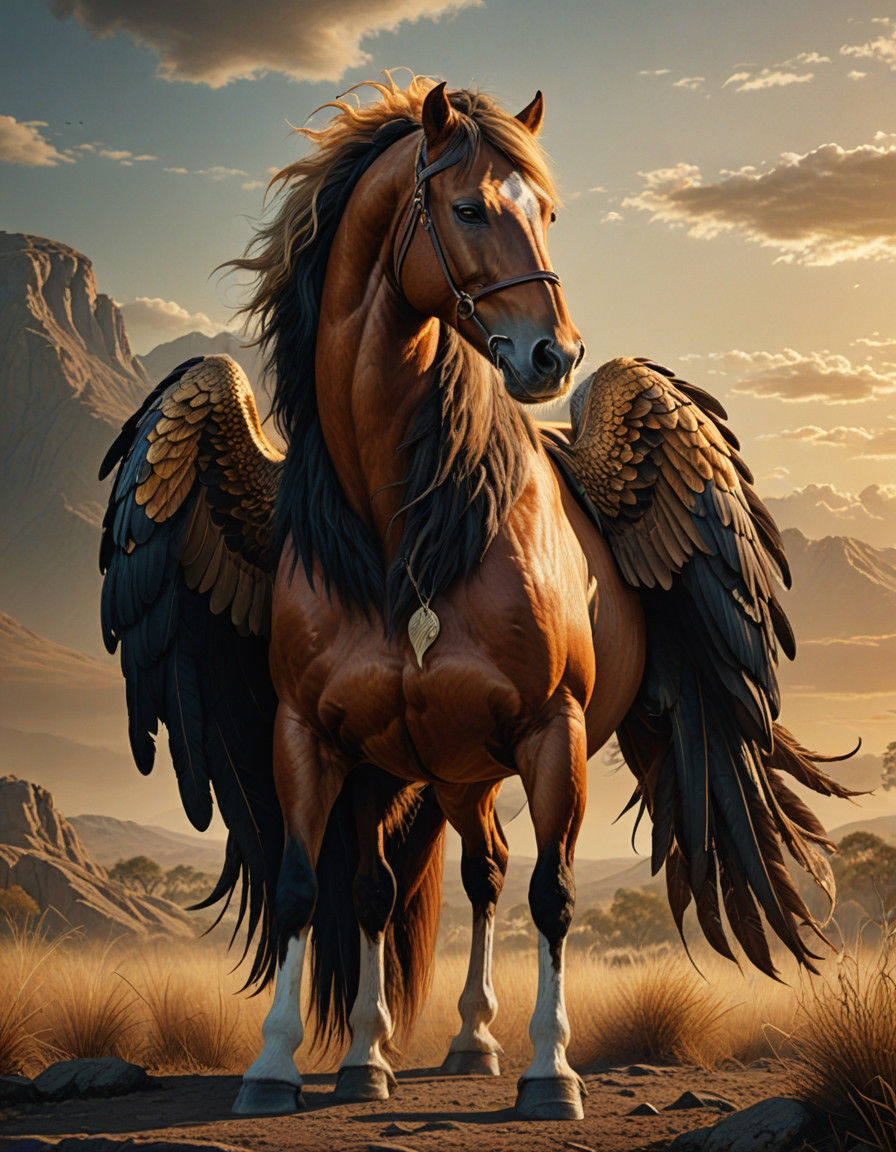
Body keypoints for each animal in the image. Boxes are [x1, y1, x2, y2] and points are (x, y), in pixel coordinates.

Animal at [99, 75, 854, 1122]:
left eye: (547, 212)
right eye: (466, 209)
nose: (554, 356)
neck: (406, 530)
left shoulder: (551, 730)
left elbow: (554, 897)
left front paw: (552, 1072)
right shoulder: (310, 733)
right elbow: (306, 889)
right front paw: (282, 1065)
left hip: (478, 762)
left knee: (492, 873)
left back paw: (473, 1040)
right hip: (413, 769)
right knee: (400, 884)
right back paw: (373, 1055)